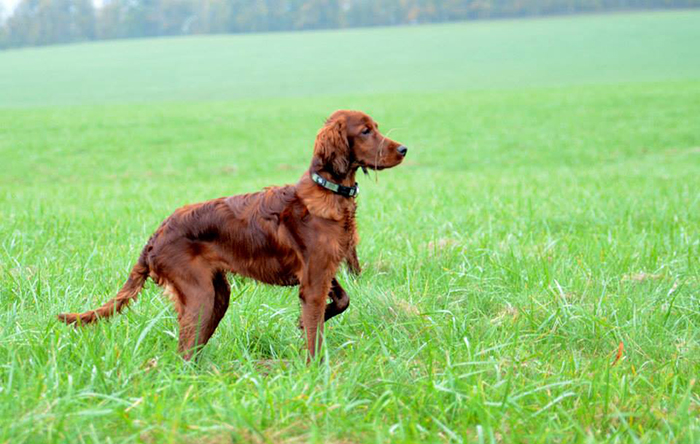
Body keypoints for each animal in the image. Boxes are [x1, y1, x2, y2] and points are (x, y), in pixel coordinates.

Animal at [57, 110, 408, 360]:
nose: (404, 148)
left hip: (217, 294)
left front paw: (303, 323)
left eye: (376, 127)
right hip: (199, 296)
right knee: (183, 353)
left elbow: (342, 300)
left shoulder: (321, 272)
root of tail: (155, 237)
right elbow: (315, 335)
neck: (326, 192)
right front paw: (316, 371)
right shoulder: (313, 281)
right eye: (365, 131)